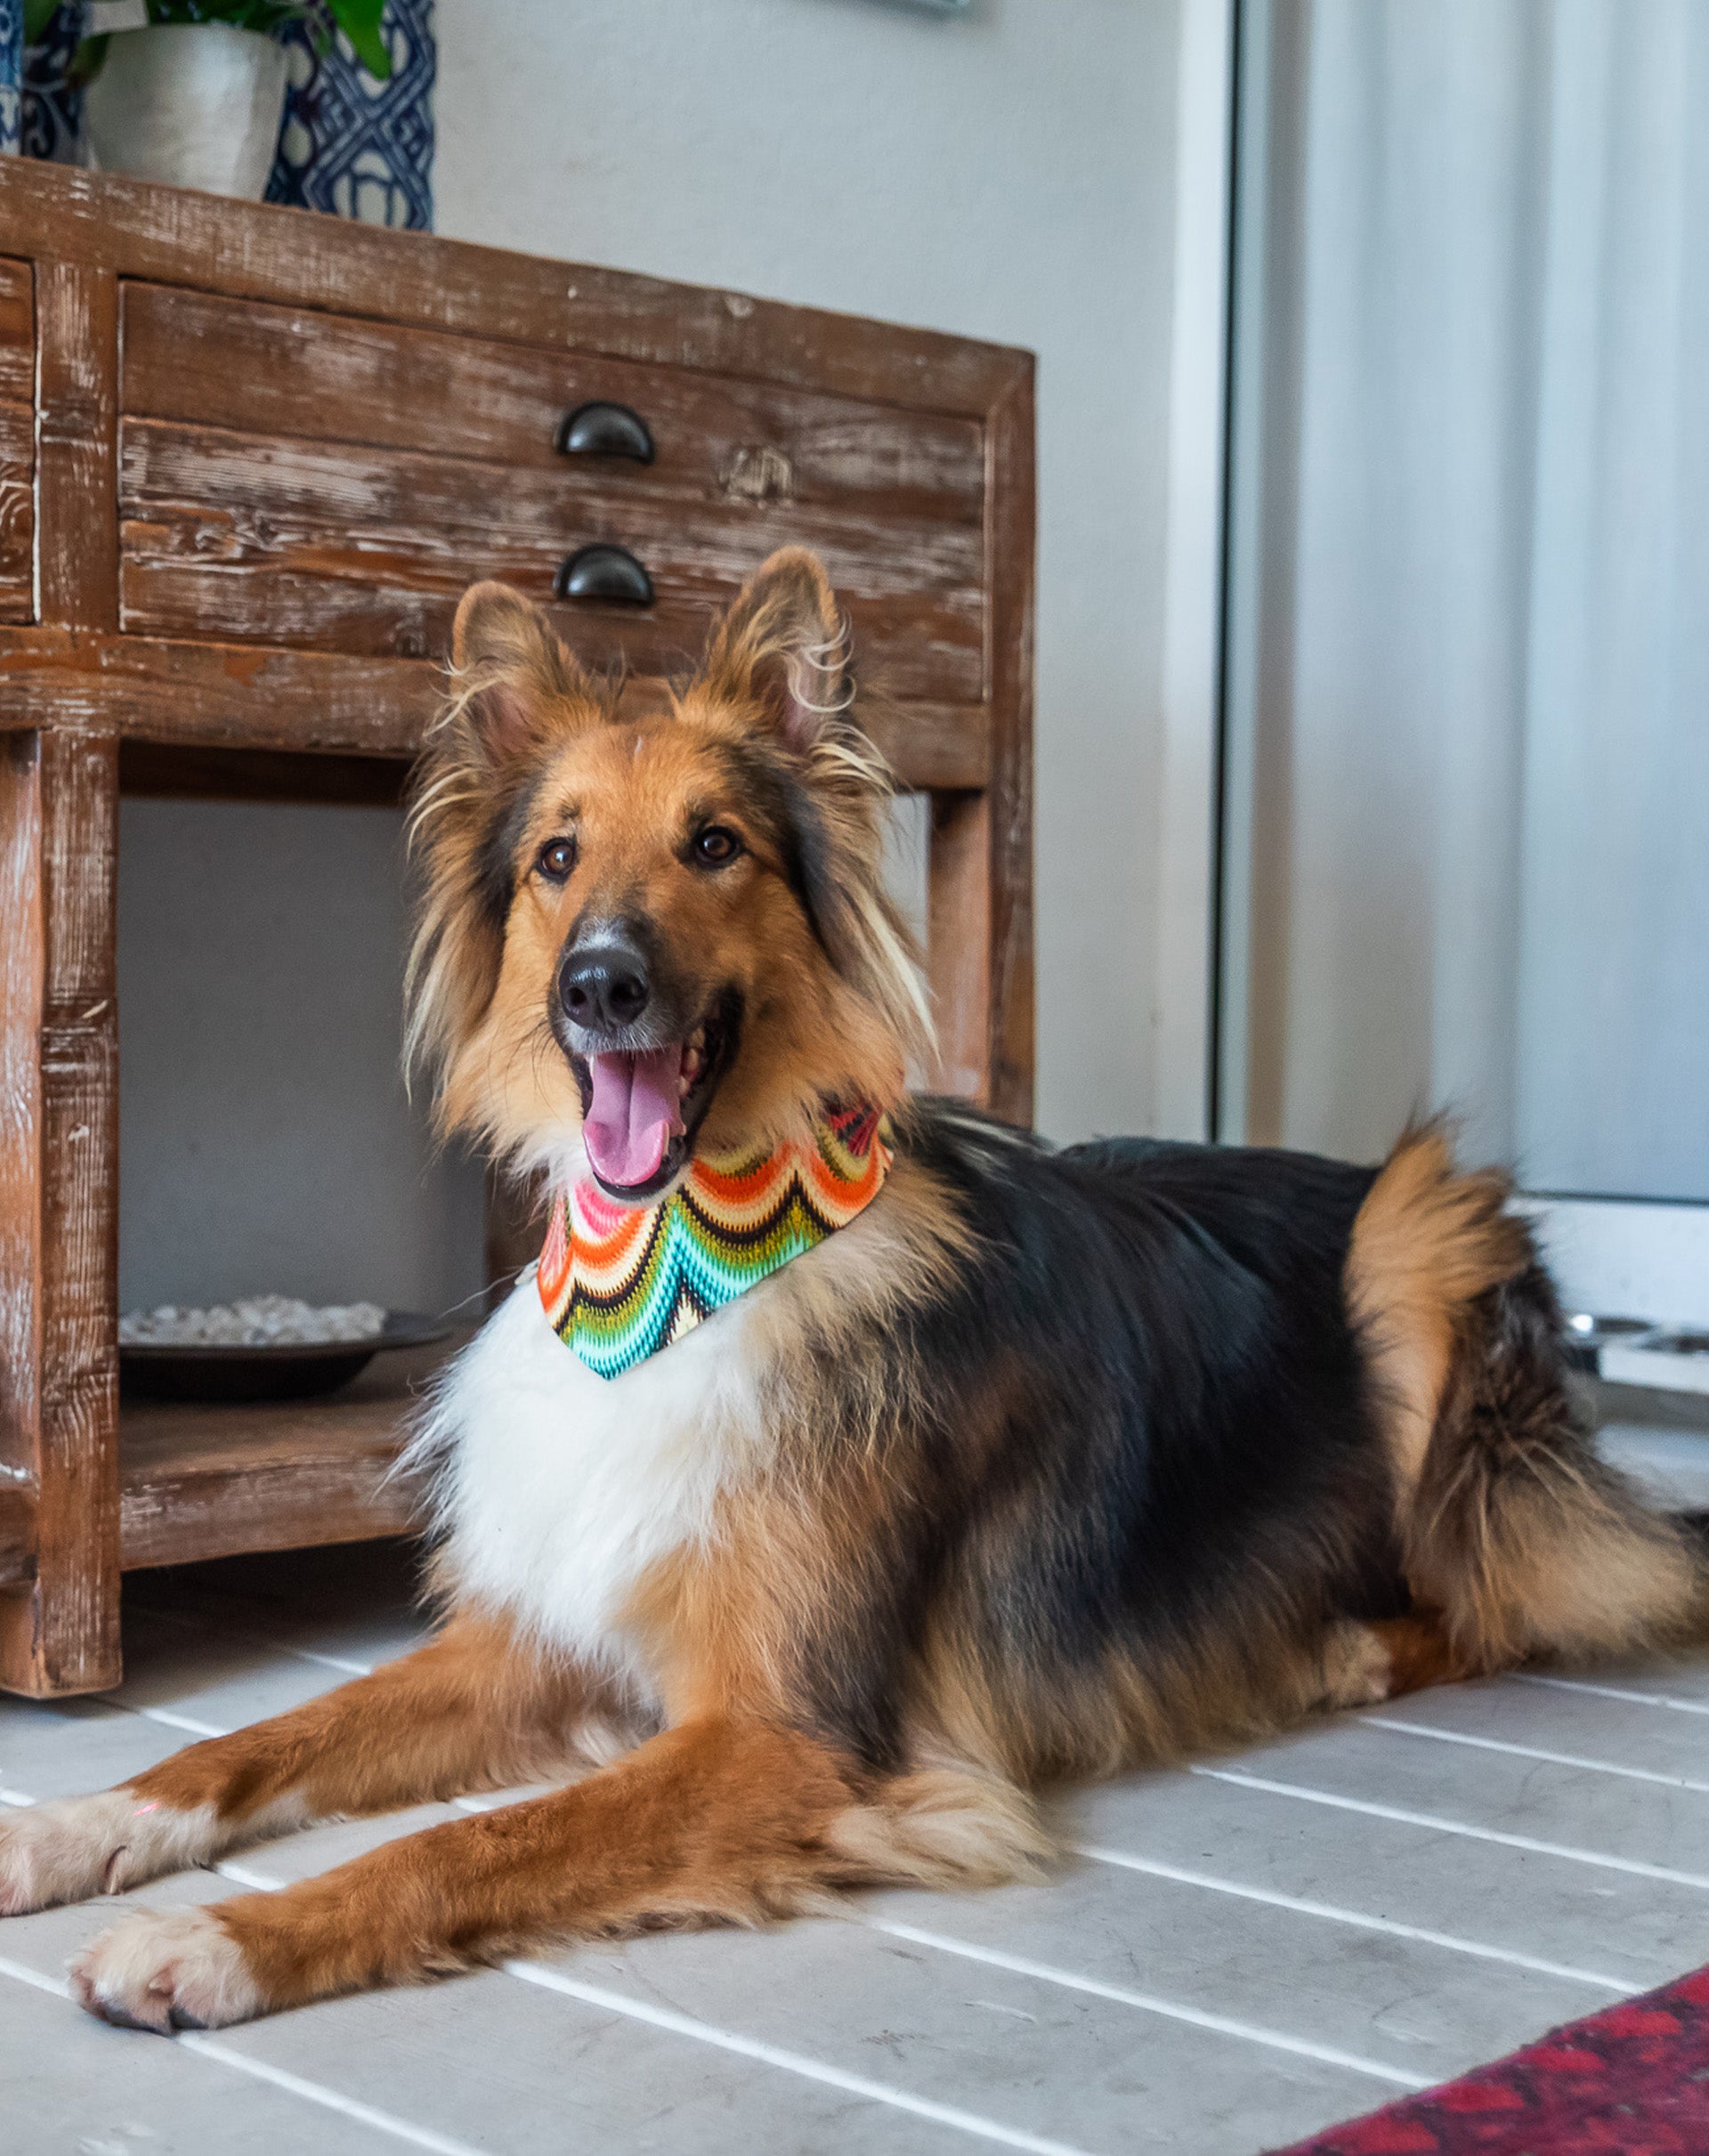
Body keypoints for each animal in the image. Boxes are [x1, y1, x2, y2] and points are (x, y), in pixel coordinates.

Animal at [6, 547, 1697, 2026]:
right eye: (557, 859)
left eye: (714, 845)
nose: (599, 984)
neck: (683, 1263)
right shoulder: (532, 1638)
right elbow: (267, 1732)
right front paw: (79, 1821)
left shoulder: (791, 1736)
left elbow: (457, 1842)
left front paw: (218, 1938)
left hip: (1423, 1232)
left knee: (1505, 1583)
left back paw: (1343, 1644)